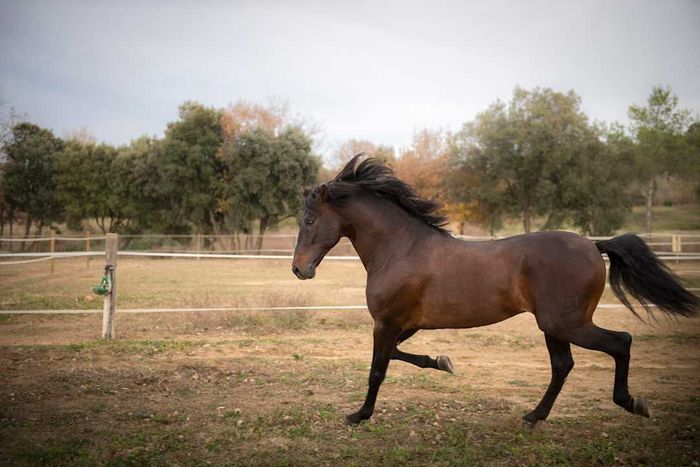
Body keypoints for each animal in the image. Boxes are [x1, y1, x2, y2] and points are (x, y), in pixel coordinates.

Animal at [291, 155, 699, 426]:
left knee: (621, 342)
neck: (400, 248)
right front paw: (441, 362)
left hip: (566, 323)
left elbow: (378, 368)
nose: (299, 269)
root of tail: (593, 244)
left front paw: (359, 414)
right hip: (554, 326)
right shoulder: (406, 324)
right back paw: (534, 416)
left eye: (310, 220)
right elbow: (395, 356)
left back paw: (632, 403)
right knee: (563, 365)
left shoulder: (387, 322)